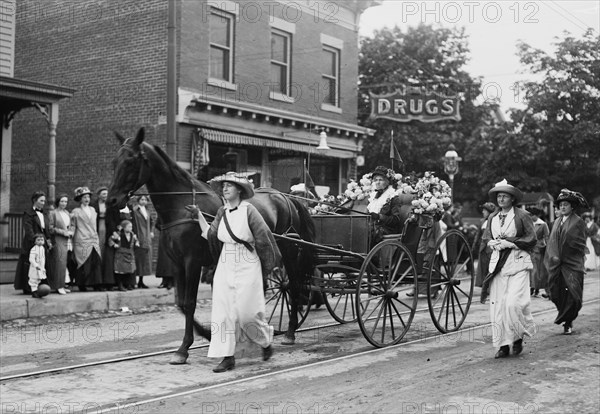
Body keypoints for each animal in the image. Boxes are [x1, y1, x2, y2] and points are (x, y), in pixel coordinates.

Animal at [107, 128, 316, 364]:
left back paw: (289, 331)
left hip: (288, 251)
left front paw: (184, 347)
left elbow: (190, 302)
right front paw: (207, 335)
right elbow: (181, 302)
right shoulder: (176, 263)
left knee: (294, 285)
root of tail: (285, 197)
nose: (111, 200)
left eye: (131, 161)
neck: (181, 204)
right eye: (115, 162)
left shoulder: (192, 262)